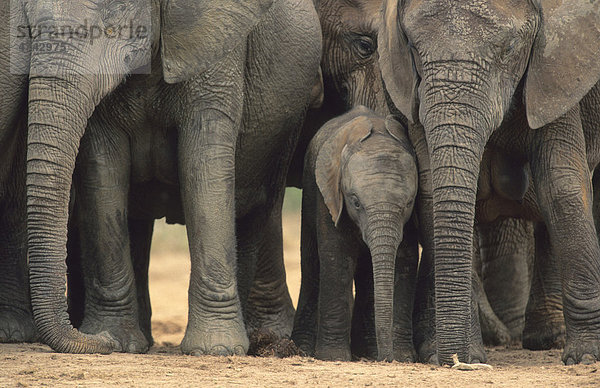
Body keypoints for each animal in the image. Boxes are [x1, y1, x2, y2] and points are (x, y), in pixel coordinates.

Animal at [18, 0, 322, 354]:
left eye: (113, 16)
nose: (98, 340)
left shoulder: (217, 54)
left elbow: (203, 161)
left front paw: (215, 350)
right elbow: (103, 173)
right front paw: (117, 341)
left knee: (255, 209)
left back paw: (250, 341)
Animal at [294, 105, 418, 360]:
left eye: (409, 203)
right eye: (355, 202)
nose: (386, 358)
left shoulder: (408, 221)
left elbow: (405, 261)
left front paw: (402, 357)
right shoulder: (329, 197)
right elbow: (337, 259)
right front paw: (333, 357)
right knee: (311, 267)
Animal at [380, 0, 600, 364]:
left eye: (509, 50)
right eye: (411, 46)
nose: (455, 361)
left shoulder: (555, 74)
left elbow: (562, 186)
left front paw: (584, 358)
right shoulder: (412, 93)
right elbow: (431, 192)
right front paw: (468, 356)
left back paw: (548, 340)